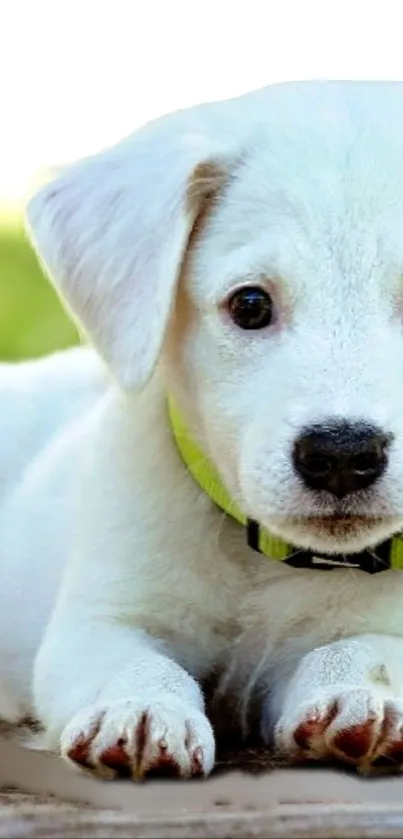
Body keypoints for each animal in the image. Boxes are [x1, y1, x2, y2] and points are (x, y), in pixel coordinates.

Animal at [0, 80, 403, 780]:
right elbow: (132, 662)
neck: (266, 557)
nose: (342, 454)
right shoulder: (100, 619)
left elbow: (368, 646)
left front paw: (360, 693)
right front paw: (138, 709)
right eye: (250, 305)